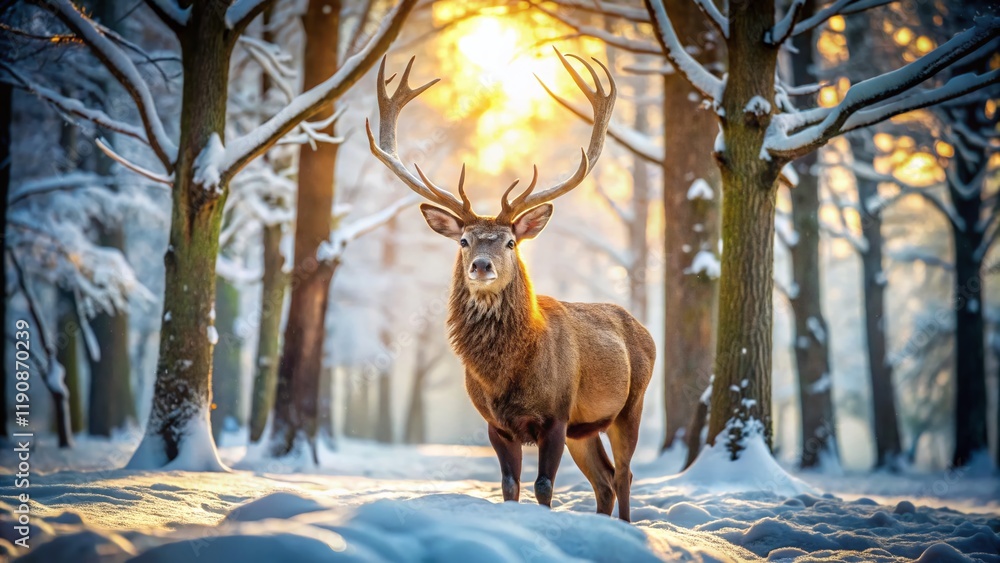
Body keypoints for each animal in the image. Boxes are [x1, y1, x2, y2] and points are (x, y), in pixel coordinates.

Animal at [365, 50, 655, 522]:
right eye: (463, 241)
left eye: (510, 241)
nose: (481, 265)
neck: (506, 376)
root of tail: (644, 330)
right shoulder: (495, 424)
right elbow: (509, 486)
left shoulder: (556, 414)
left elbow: (543, 486)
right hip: (584, 429)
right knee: (606, 480)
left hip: (632, 403)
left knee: (625, 474)